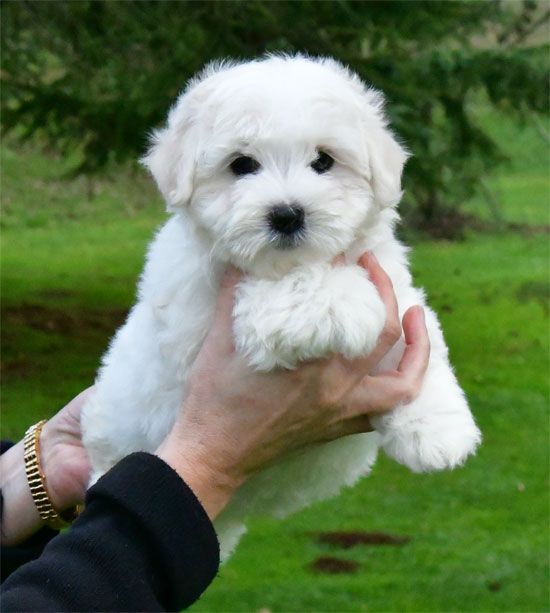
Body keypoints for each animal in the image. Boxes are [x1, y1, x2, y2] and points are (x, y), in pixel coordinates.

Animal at [80, 55, 480, 556]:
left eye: (324, 160)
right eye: (242, 164)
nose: (287, 214)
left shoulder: (396, 286)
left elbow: (420, 344)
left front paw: (437, 431)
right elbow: (289, 291)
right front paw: (345, 301)